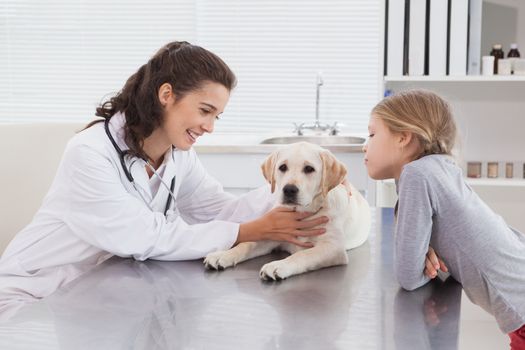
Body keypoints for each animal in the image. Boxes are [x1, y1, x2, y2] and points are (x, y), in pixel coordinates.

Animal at [203, 141, 370, 280]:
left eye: (309, 169)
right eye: (282, 167)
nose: (289, 189)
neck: (302, 214)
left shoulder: (334, 248)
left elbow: (302, 255)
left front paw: (278, 265)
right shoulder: (273, 234)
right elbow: (246, 244)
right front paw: (223, 255)